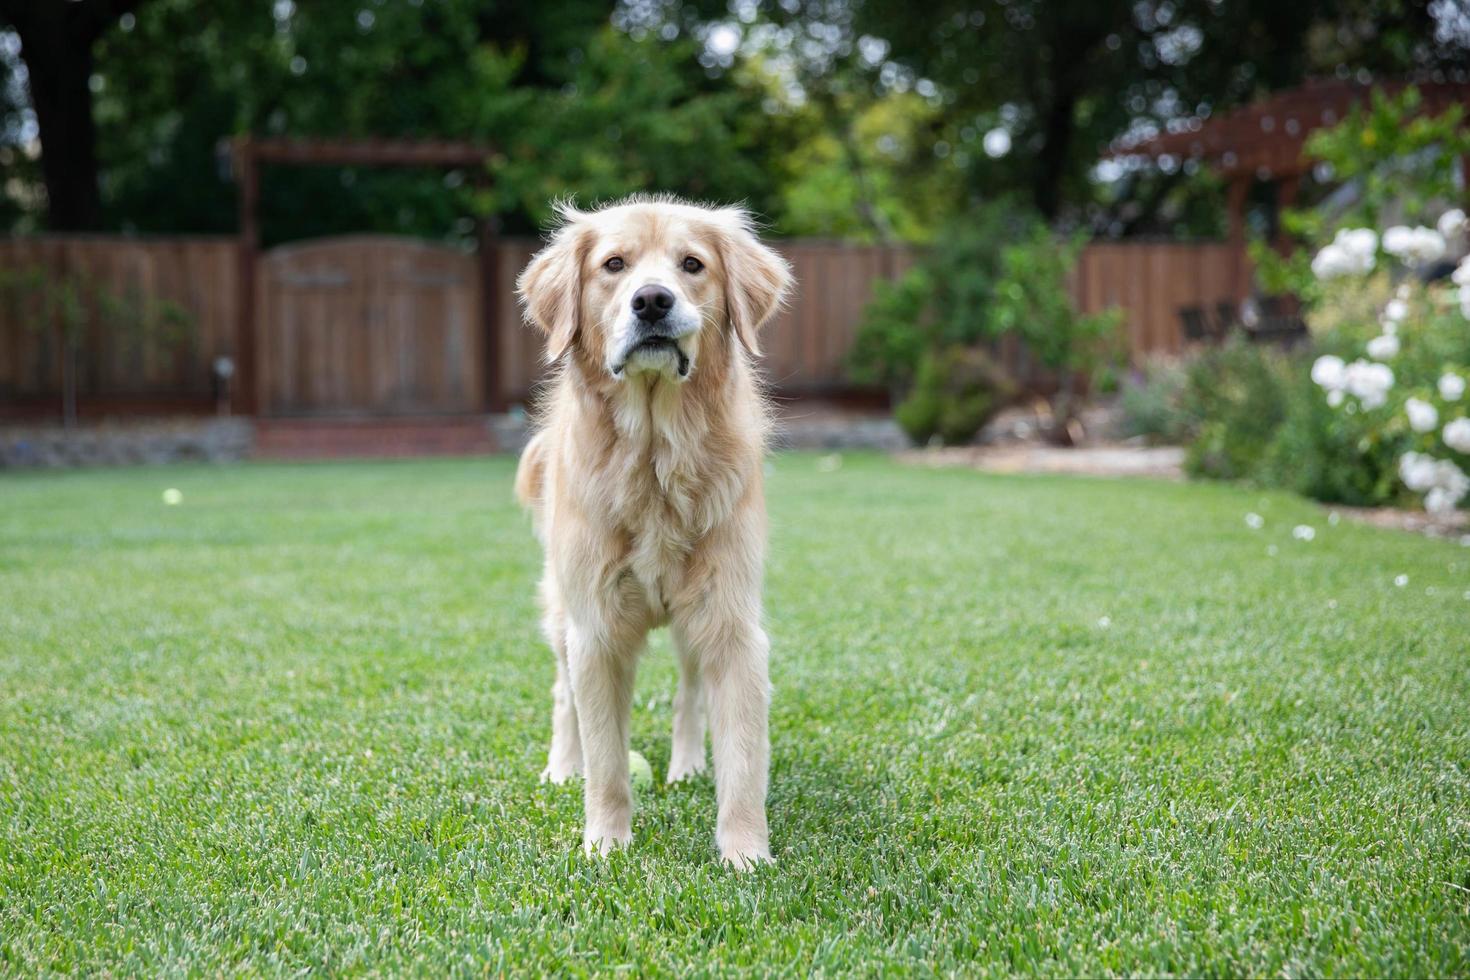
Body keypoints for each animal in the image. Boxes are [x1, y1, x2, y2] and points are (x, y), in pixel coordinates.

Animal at [514, 196, 793, 863]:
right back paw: (562, 767)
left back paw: (687, 765)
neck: (654, 456)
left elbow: (743, 760)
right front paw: (606, 846)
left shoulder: (731, 624)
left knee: (690, 694)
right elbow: (607, 762)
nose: (652, 301)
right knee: (564, 697)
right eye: (614, 265)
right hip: (561, 611)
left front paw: (746, 854)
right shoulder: (596, 629)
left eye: (692, 264)